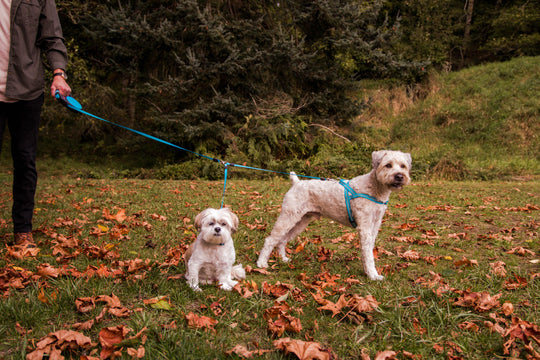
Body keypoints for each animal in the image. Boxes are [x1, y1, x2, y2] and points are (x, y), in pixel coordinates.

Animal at [258, 150, 414, 280]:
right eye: (388, 165)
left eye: (403, 166)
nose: (399, 176)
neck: (375, 188)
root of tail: (296, 182)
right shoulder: (364, 227)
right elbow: (368, 254)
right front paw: (373, 275)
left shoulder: (374, 226)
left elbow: (368, 250)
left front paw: (368, 272)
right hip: (288, 217)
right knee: (270, 239)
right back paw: (261, 263)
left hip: (300, 221)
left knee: (282, 240)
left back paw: (283, 259)